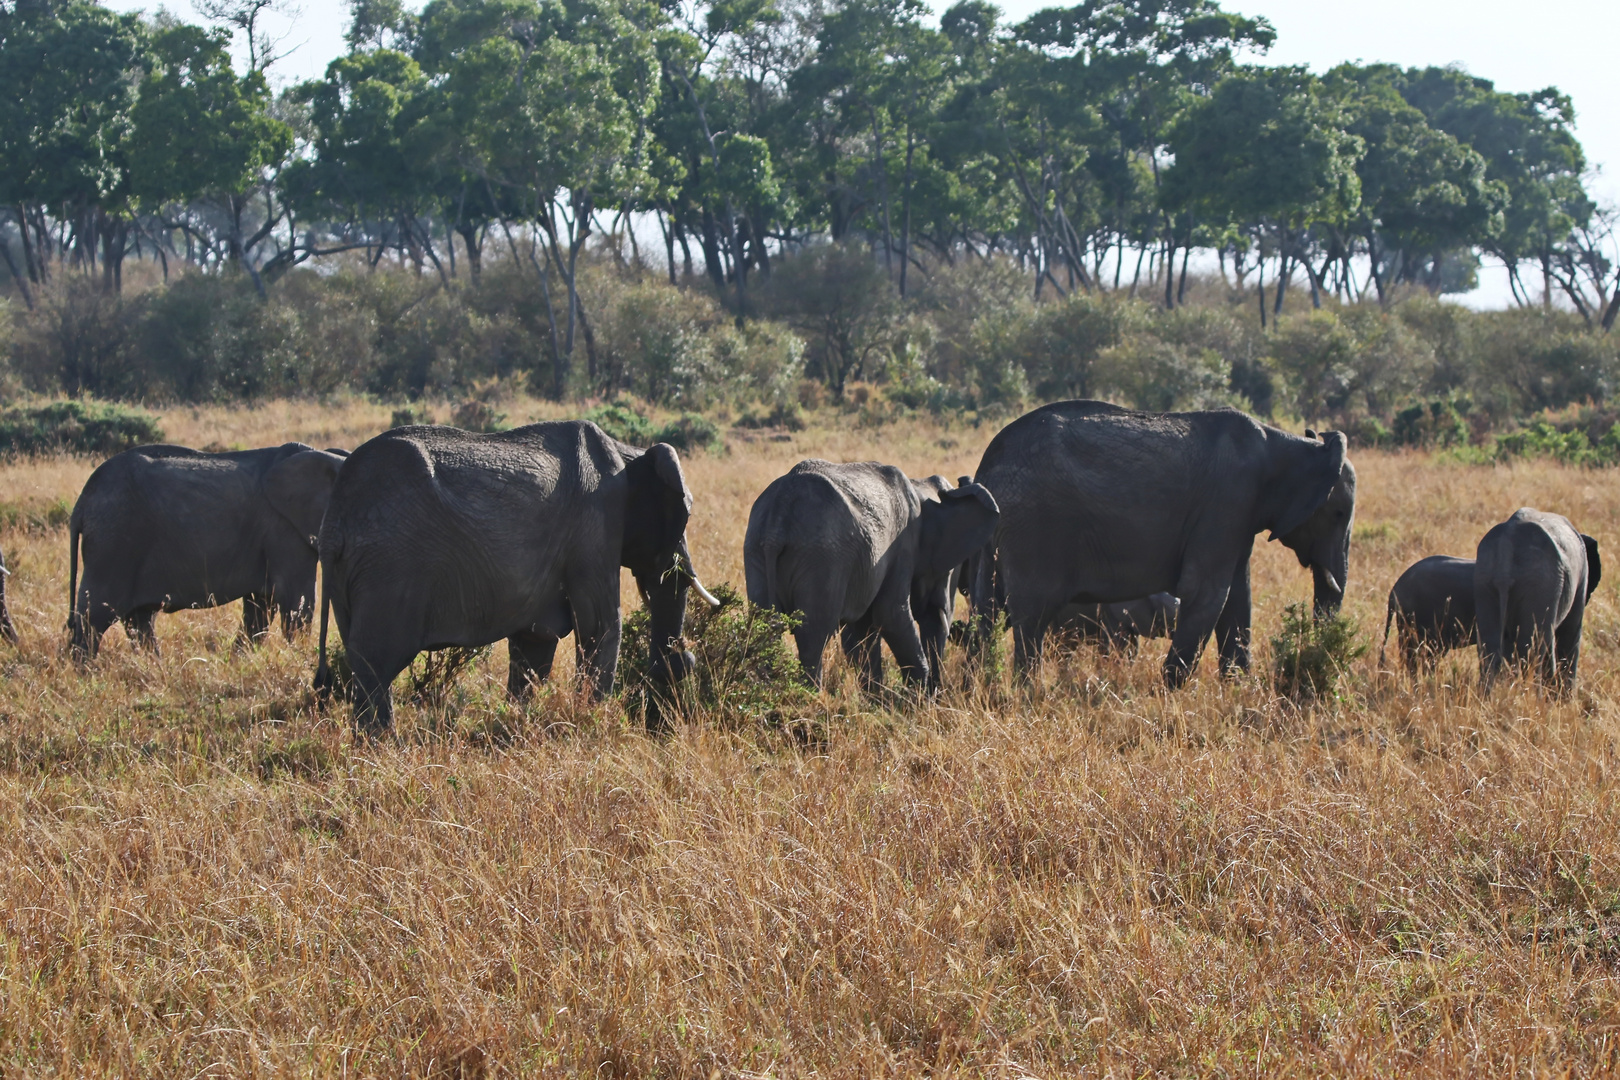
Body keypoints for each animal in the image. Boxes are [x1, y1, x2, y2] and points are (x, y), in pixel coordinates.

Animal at [71, 440, 349, 660]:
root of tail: (81, 503)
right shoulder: (284, 531)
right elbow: (296, 603)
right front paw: (299, 657)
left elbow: (260, 607)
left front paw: (238, 661)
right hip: (113, 542)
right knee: (93, 618)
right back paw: (85, 674)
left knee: (139, 621)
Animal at [314, 420, 716, 735]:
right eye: (680, 520)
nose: (685, 660)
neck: (629, 453)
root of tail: (334, 522)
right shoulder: (596, 524)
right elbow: (600, 626)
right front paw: (591, 724)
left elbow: (535, 642)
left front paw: (516, 725)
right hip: (391, 566)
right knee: (375, 663)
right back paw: (382, 749)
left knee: (363, 662)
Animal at [745, 459, 997, 693]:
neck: (920, 488)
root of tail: (777, 520)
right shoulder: (904, 545)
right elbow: (894, 613)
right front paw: (919, 694)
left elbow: (864, 630)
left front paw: (878, 700)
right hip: (821, 556)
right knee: (812, 633)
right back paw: (809, 697)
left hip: (757, 549)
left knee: (765, 629)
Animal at [972, 401, 1354, 689]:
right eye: (1338, 514)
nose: (1315, 657)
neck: (1289, 446)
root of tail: (986, 465)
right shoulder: (1228, 500)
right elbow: (1206, 593)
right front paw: (1169, 692)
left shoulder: (1241, 514)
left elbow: (1238, 597)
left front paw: (1240, 689)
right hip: (1035, 527)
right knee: (1030, 618)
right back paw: (1027, 695)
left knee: (985, 614)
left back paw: (977, 689)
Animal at [1477, 508, 1600, 693]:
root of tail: (1506, 550)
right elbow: (1570, 634)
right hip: (1540, 584)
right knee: (1533, 649)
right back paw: (1536, 697)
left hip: (1485, 579)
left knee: (1490, 647)